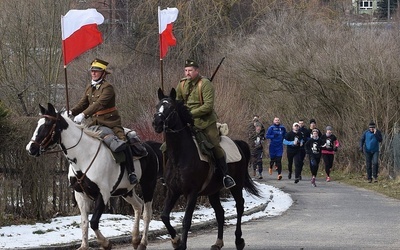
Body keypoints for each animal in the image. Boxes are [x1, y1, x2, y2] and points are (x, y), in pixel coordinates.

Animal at [24, 103, 159, 250]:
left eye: (47, 124)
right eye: (38, 123)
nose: (30, 148)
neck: (84, 157)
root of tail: (148, 147)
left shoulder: (103, 195)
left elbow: (94, 221)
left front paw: (105, 243)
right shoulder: (80, 195)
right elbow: (84, 222)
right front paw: (84, 245)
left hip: (148, 185)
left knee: (147, 213)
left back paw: (142, 242)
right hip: (126, 191)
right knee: (138, 205)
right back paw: (135, 239)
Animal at [152, 88, 260, 250]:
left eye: (171, 108)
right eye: (157, 106)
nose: (156, 123)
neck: (180, 155)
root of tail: (238, 143)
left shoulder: (192, 193)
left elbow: (186, 220)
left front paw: (182, 244)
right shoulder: (173, 191)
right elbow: (164, 216)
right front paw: (175, 240)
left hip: (236, 185)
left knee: (240, 206)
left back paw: (238, 240)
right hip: (213, 191)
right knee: (220, 213)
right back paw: (218, 243)